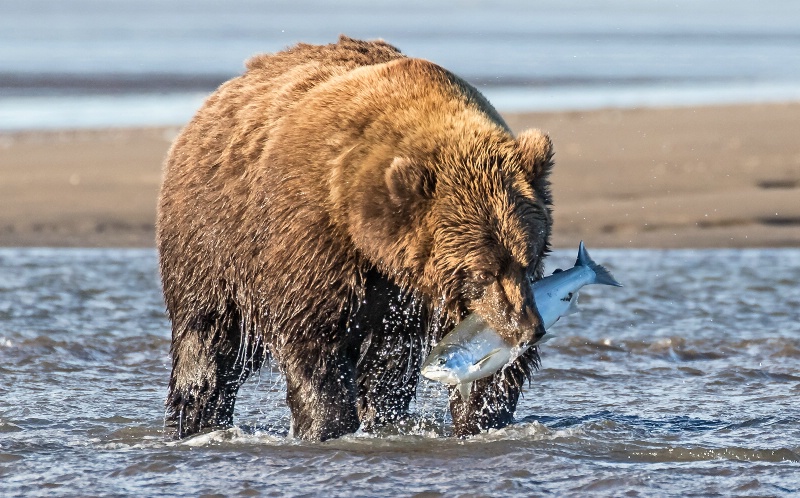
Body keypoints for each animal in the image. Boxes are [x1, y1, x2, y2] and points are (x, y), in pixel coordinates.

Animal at [159, 36, 552, 440]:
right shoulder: (313, 237)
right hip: (213, 245)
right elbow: (314, 340)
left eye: (529, 260)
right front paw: (327, 423)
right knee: (209, 343)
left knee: (390, 365)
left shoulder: (421, 289)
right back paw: (194, 420)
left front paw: (483, 416)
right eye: (482, 272)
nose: (528, 331)